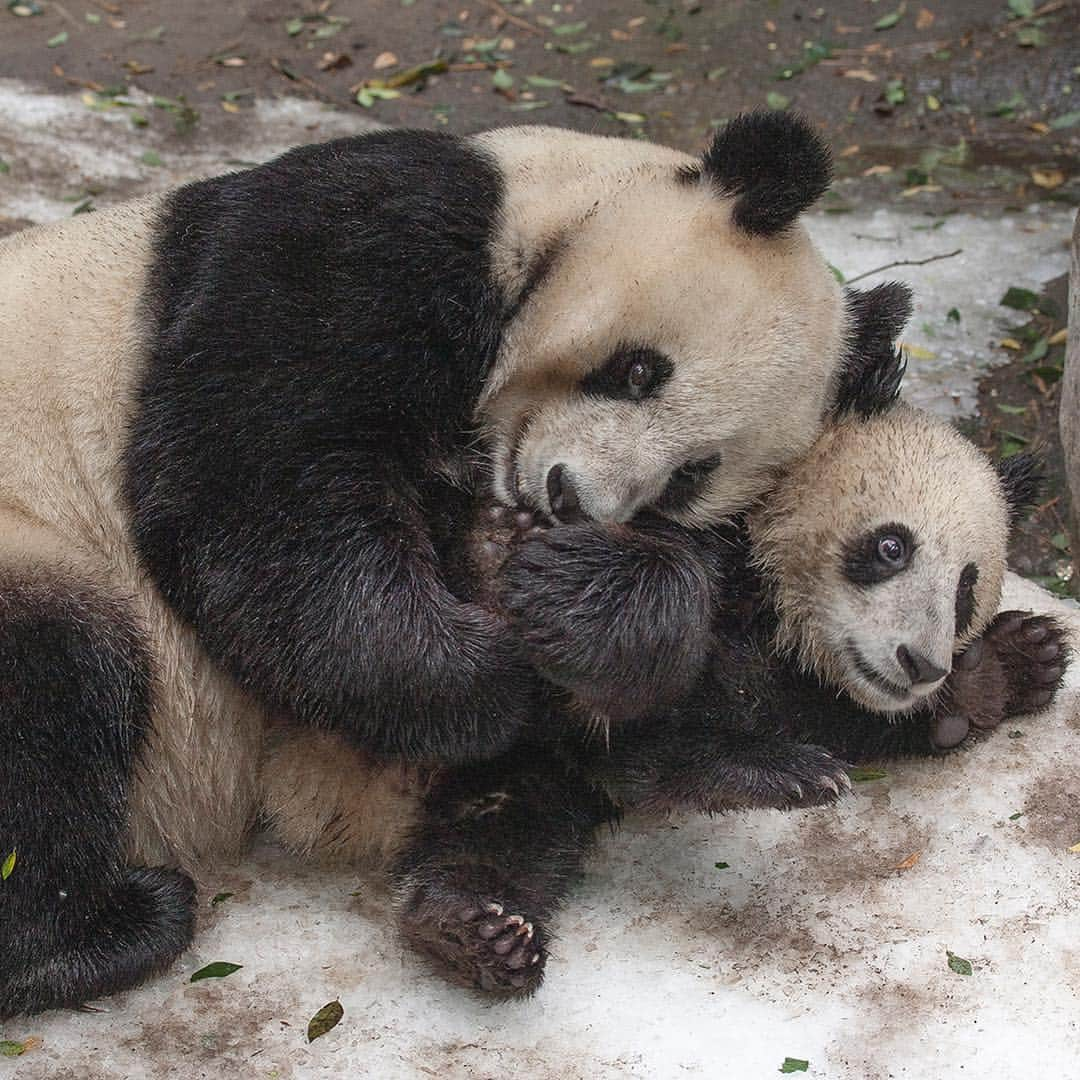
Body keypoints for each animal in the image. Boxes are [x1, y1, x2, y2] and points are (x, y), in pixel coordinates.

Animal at [0, 113, 894, 1015]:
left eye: (691, 476)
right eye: (640, 370)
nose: (568, 497)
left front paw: (574, 608)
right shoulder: (354, 245)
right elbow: (251, 482)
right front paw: (482, 672)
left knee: (534, 784)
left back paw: (497, 902)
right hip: (34, 541)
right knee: (53, 686)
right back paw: (98, 937)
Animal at [261, 403, 1071, 993]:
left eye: (966, 587)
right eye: (892, 546)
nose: (919, 663)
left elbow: (826, 710)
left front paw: (1012, 663)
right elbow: (641, 700)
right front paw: (774, 767)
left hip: (503, 772)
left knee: (502, 830)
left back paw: (473, 931)